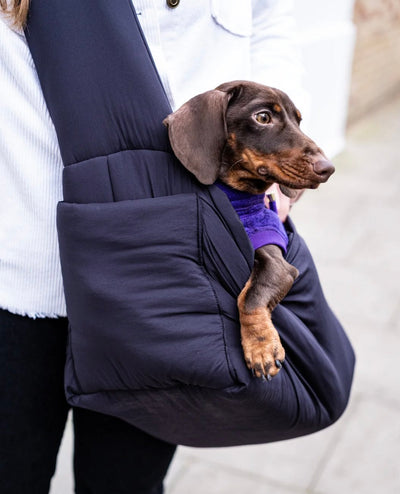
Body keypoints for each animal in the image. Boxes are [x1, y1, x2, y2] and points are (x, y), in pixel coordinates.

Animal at [162, 82, 334, 382]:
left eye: (298, 120)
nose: (327, 168)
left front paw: (261, 347)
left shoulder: (278, 264)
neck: (239, 198)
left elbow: (249, 297)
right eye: (263, 117)